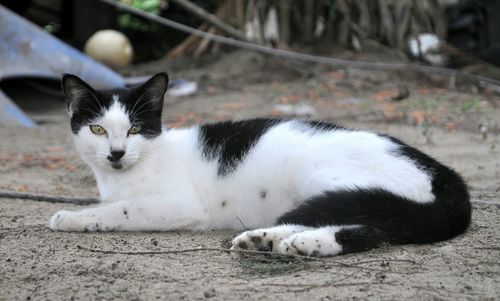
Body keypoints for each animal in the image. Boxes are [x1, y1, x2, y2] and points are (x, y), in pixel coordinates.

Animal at [48, 72, 470, 255]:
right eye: (98, 129)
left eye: (134, 128)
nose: (116, 153)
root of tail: (445, 174)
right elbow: (112, 204)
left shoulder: (180, 205)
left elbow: (118, 210)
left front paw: (71, 218)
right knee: (369, 226)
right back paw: (273, 239)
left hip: (328, 177)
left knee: (364, 222)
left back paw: (294, 241)